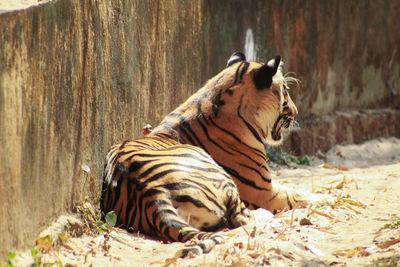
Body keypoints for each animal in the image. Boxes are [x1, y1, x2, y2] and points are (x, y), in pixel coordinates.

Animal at [100, 52, 306, 258]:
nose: (296, 112)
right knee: (244, 219)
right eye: (285, 90)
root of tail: (152, 194)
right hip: (225, 182)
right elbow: (303, 197)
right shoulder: (265, 192)